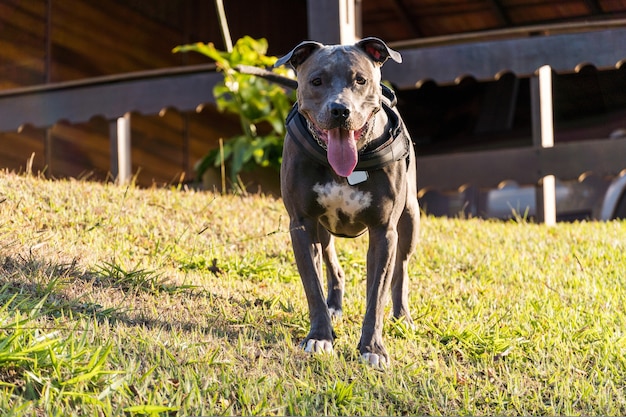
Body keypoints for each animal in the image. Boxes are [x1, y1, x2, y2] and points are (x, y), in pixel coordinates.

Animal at [274, 36, 416, 368]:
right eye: (316, 81)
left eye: (360, 80)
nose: (340, 110)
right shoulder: (302, 225)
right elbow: (312, 285)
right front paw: (320, 337)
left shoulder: (383, 232)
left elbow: (376, 295)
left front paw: (373, 349)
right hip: (323, 229)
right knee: (331, 264)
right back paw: (334, 306)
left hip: (410, 219)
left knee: (401, 270)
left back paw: (402, 315)